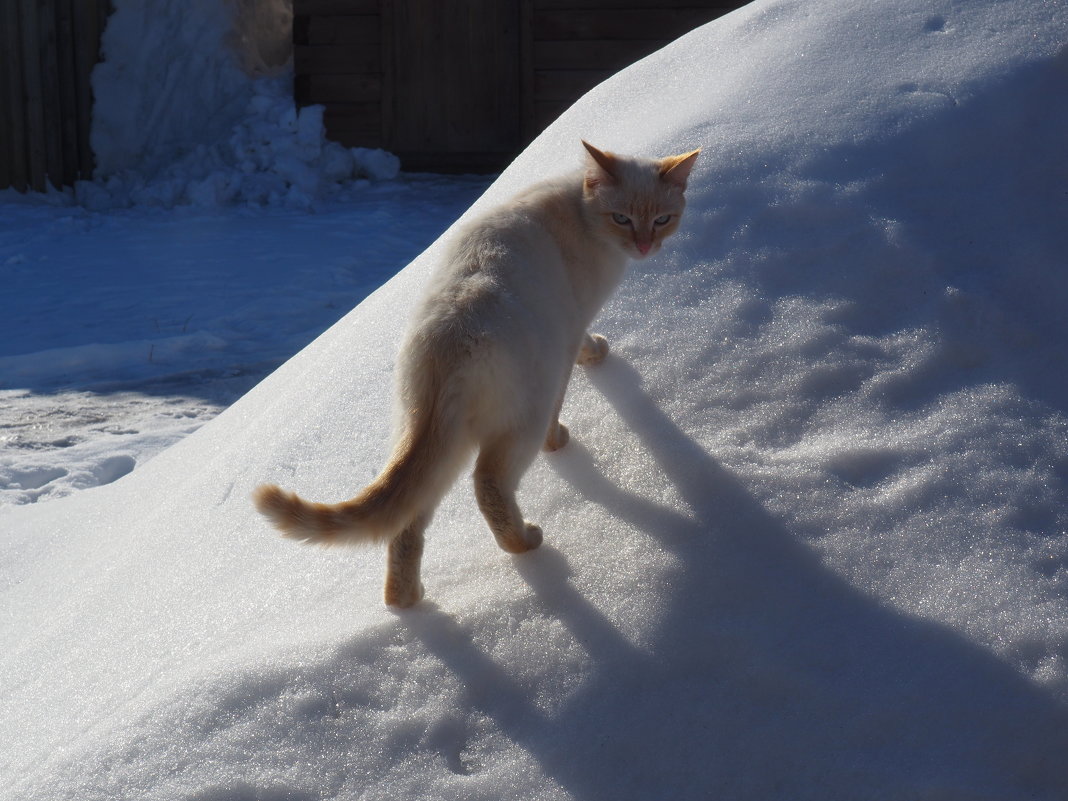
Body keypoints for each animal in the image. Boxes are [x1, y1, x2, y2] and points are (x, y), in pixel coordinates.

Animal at [253, 139, 696, 606]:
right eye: (622, 218)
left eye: (662, 219)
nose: (645, 245)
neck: (580, 207)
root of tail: (449, 337)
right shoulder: (571, 330)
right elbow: (577, 363)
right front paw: (574, 407)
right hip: (521, 417)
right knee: (488, 484)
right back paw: (524, 542)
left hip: (436, 438)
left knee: (408, 522)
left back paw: (405, 600)